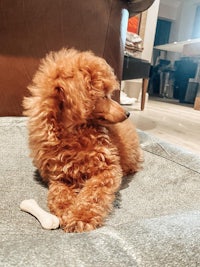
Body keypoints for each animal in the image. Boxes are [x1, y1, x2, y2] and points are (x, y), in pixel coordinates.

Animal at [23, 49, 142, 233]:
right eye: (104, 96)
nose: (127, 113)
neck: (74, 133)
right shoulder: (58, 176)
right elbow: (58, 193)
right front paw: (66, 210)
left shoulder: (108, 170)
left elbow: (94, 193)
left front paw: (81, 217)